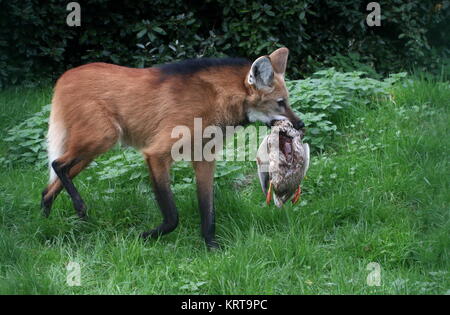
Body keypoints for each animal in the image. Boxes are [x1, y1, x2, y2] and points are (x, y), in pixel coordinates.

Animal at [40, 47, 304, 249]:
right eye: (281, 103)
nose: (301, 125)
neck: (217, 100)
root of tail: (65, 76)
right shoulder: (156, 155)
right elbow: (172, 216)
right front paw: (143, 237)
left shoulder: (205, 159)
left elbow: (208, 211)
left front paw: (212, 247)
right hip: (102, 138)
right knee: (57, 164)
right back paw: (78, 208)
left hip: (90, 151)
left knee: (50, 185)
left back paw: (44, 223)